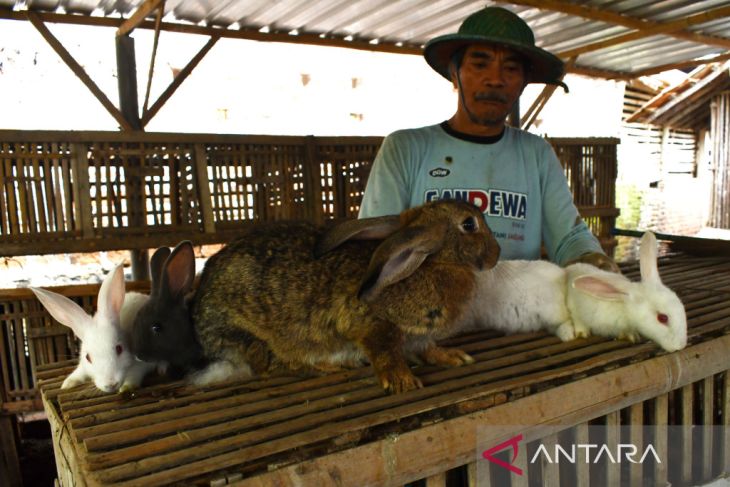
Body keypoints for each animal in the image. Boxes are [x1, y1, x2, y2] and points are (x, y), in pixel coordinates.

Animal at [30, 264, 158, 394]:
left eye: (119, 349)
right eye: (88, 357)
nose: (110, 384)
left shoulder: (142, 363)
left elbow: (134, 375)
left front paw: (126, 387)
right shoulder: (83, 365)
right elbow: (79, 372)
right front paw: (68, 384)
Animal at [188, 200, 498, 394]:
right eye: (469, 225)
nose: (496, 255)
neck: (429, 263)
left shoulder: (419, 336)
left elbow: (427, 348)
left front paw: (454, 357)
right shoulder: (372, 324)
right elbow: (385, 351)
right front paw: (402, 382)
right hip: (257, 338)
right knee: (275, 365)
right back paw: (332, 364)